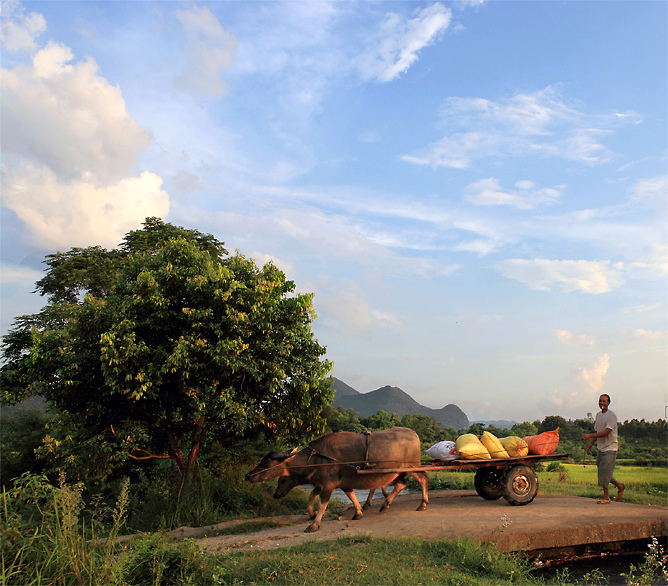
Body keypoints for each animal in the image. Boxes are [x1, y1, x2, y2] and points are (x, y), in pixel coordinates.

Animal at [245, 426, 428, 532]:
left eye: (267, 461)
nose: (248, 476)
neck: (315, 458)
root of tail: (414, 434)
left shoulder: (328, 484)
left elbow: (322, 502)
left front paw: (314, 524)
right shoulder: (334, 483)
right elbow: (339, 495)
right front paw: (358, 513)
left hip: (412, 466)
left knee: (423, 478)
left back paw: (422, 504)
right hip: (398, 471)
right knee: (401, 484)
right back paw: (385, 505)